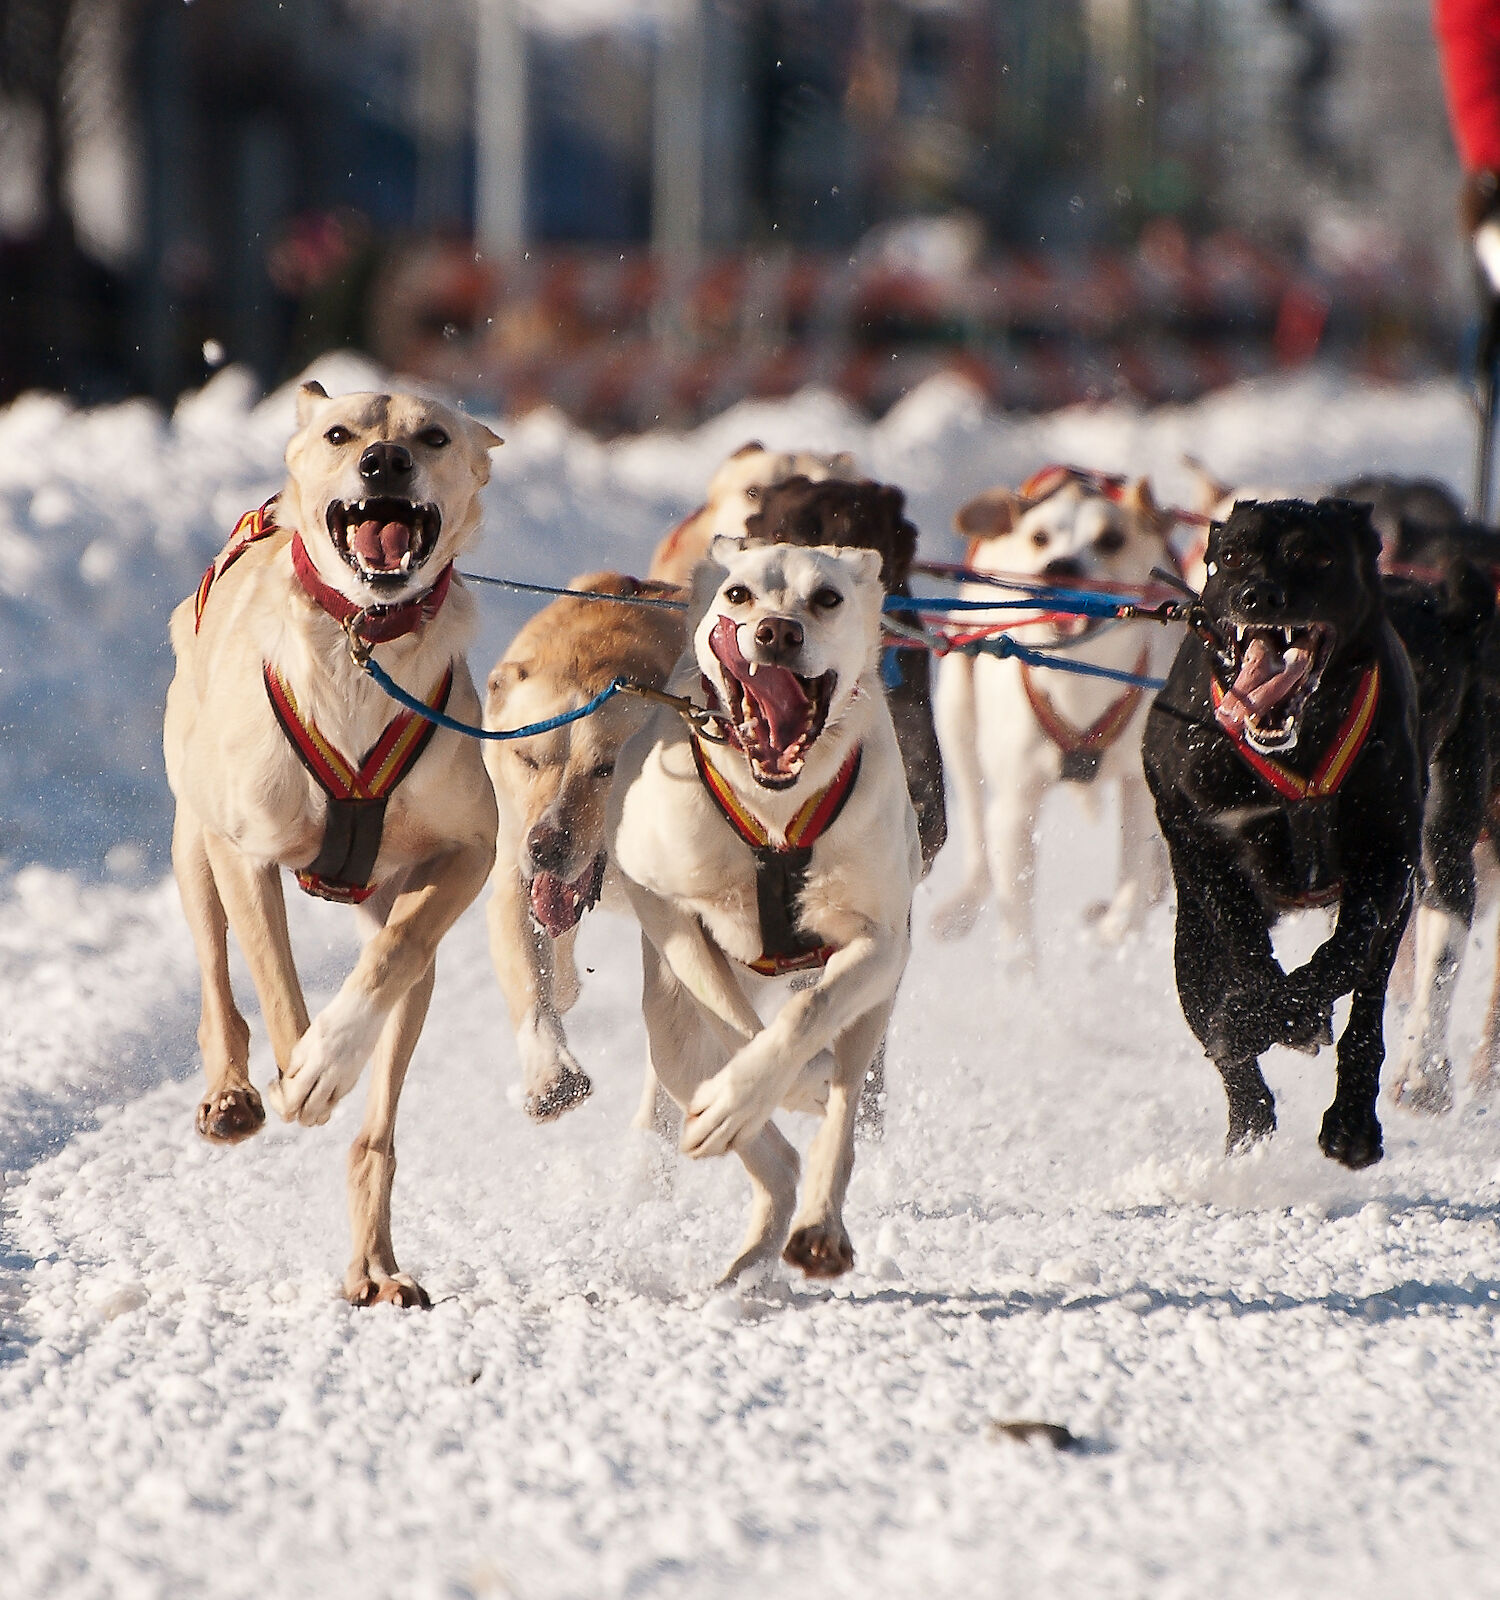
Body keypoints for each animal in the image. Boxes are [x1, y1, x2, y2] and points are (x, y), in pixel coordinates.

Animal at [166, 380, 498, 1305]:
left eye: (433, 435)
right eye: (342, 433)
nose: (385, 460)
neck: (363, 646)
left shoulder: (469, 851)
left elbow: (391, 958)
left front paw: (328, 1063)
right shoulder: (243, 850)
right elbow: (277, 986)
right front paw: (298, 1071)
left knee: (377, 1123)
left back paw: (375, 1264)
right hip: (192, 842)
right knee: (218, 985)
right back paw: (234, 1095)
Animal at [479, 569, 684, 1120]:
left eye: (607, 767)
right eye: (528, 757)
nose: (546, 846)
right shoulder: (515, 880)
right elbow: (534, 986)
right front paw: (550, 1072)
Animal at [604, 544, 914, 1280]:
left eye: (827, 598)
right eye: (738, 594)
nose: (777, 632)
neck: (774, 813)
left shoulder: (882, 942)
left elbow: (806, 1013)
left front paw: (776, 1084)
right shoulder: (661, 901)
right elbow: (736, 1027)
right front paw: (761, 1092)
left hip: (875, 1009)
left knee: (835, 1126)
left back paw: (815, 1229)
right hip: (673, 1044)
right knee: (775, 1155)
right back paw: (747, 1256)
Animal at [1144, 492, 1413, 1171]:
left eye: (1316, 556)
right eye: (1232, 556)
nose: (1259, 596)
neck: (1301, 744)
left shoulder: (1387, 860)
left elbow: (1346, 954)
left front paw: (1293, 1013)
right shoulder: (1201, 834)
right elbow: (1244, 951)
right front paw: (1266, 1018)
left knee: (1368, 1004)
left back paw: (1350, 1119)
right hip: (1190, 945)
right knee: (1221, 1029)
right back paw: (1248, 1119)